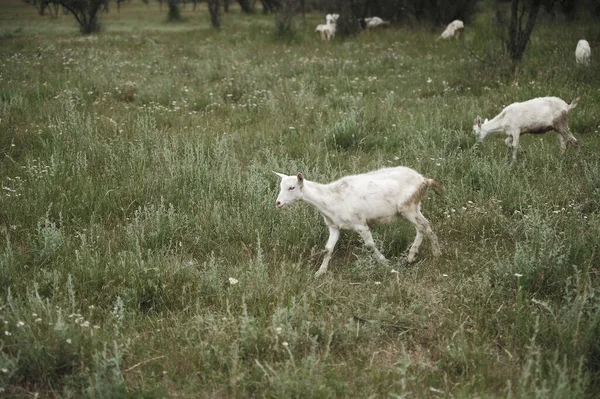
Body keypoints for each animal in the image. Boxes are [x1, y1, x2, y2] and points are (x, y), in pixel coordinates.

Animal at [274, 166, 440, 278]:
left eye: (292, 187)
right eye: (281, 186)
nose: (278, 203)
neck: (329, 198)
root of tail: (424, 180)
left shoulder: (360, 224)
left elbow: (370, 245)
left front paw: (385, 263)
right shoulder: (334, 226)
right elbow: (328, 248)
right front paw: (320, 272)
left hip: (408, 206)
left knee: (425, 226)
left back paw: (431, 255)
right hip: (414, 207)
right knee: (423, 226)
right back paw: (417, 255)